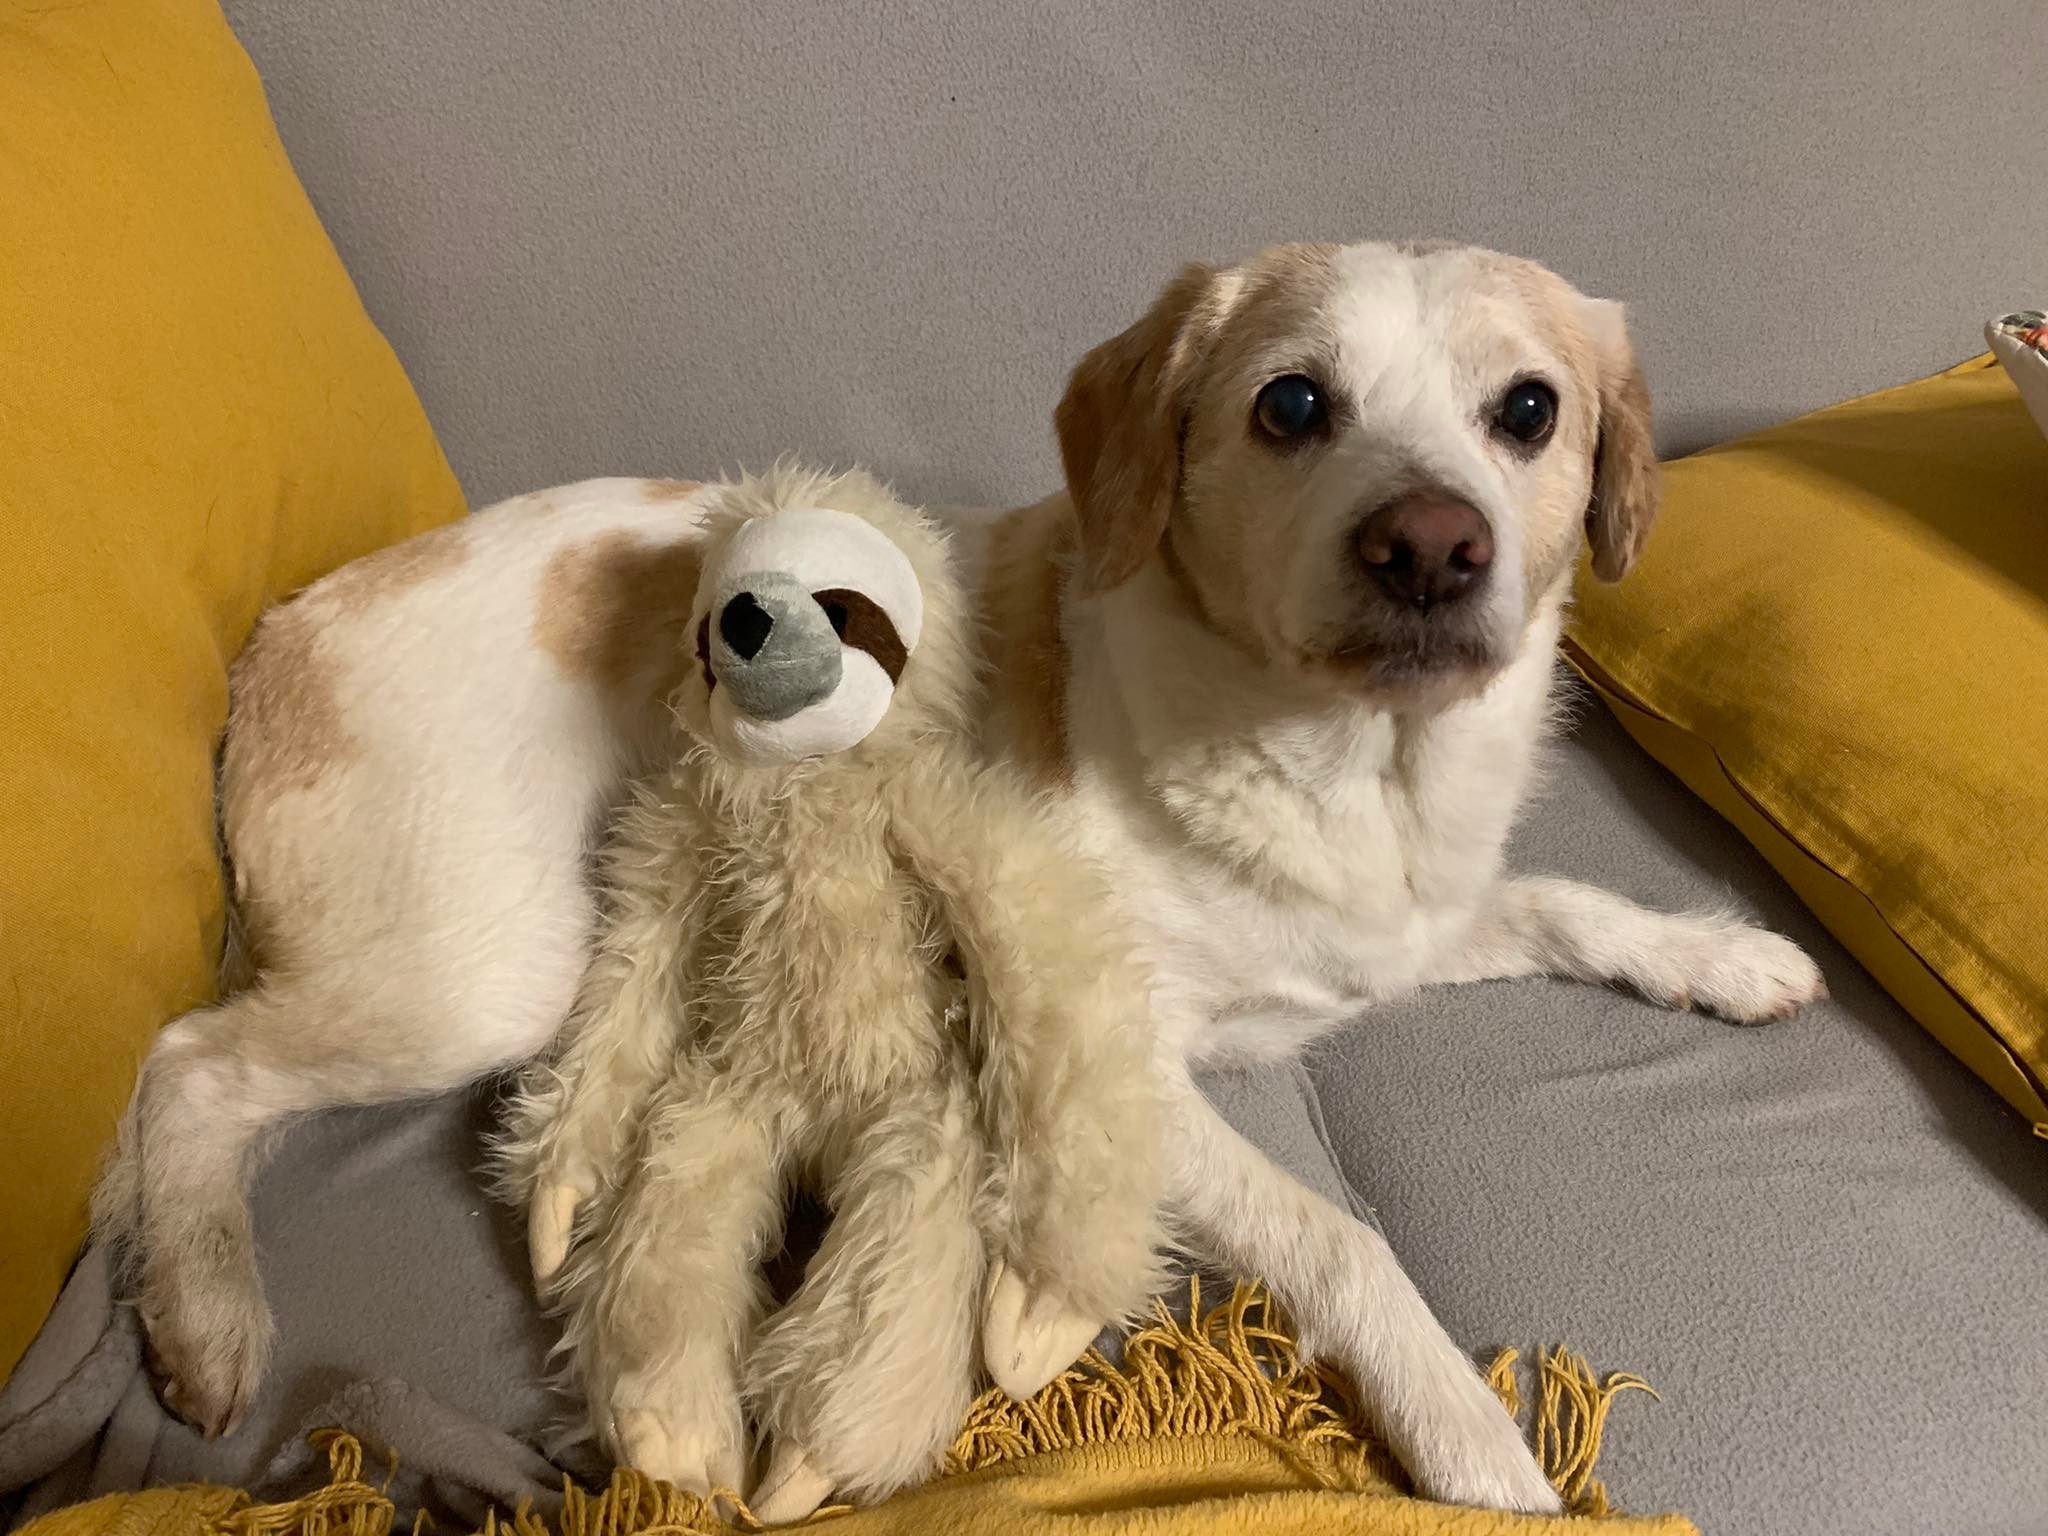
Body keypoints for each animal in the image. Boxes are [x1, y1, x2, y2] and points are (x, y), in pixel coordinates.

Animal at [96, 240, 1823, 1515]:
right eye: (1291, 405)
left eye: (1528, 410)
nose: (1431, 547)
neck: (1352, 772)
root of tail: (287, 628)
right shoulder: (1133, 1070)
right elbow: (1343, 1238)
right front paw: (1472, 1439)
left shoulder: (1399, 930)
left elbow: (1562, 901)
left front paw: (1723, 955)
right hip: (491, 972)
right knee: (187, 1064)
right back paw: (205, 1320)